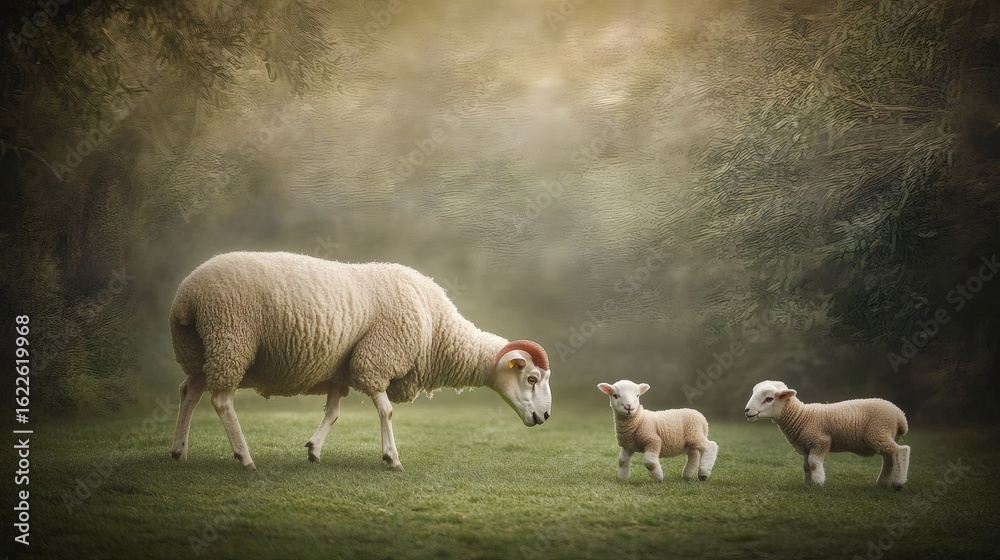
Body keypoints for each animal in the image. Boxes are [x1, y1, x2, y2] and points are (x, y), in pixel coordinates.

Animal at [169, 251, 552, 471]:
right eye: (531, 378)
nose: (546, 417)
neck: (437, 329)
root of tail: (186, 296)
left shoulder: (340, 369)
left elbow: (334, 413)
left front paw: (314, 450)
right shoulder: (376, 359)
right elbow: (387, 410)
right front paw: (392, 458)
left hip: (203, 350)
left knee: (189, 392)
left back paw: (179, 451)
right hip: (231, 338)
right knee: (221, 400)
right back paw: (244, 458)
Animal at [744, 380, 910, 489]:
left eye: (769, 399)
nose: (747, 411)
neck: (802, 416)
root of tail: (900, 416)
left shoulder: (821, 441)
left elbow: (813, 463)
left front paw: (818, 483)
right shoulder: (806, 446)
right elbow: (806, 466)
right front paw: (807, 483)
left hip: (878, 431)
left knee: (901, 451)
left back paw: (898, 483)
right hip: (881, 435)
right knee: (888, 458)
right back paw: (881, 483)